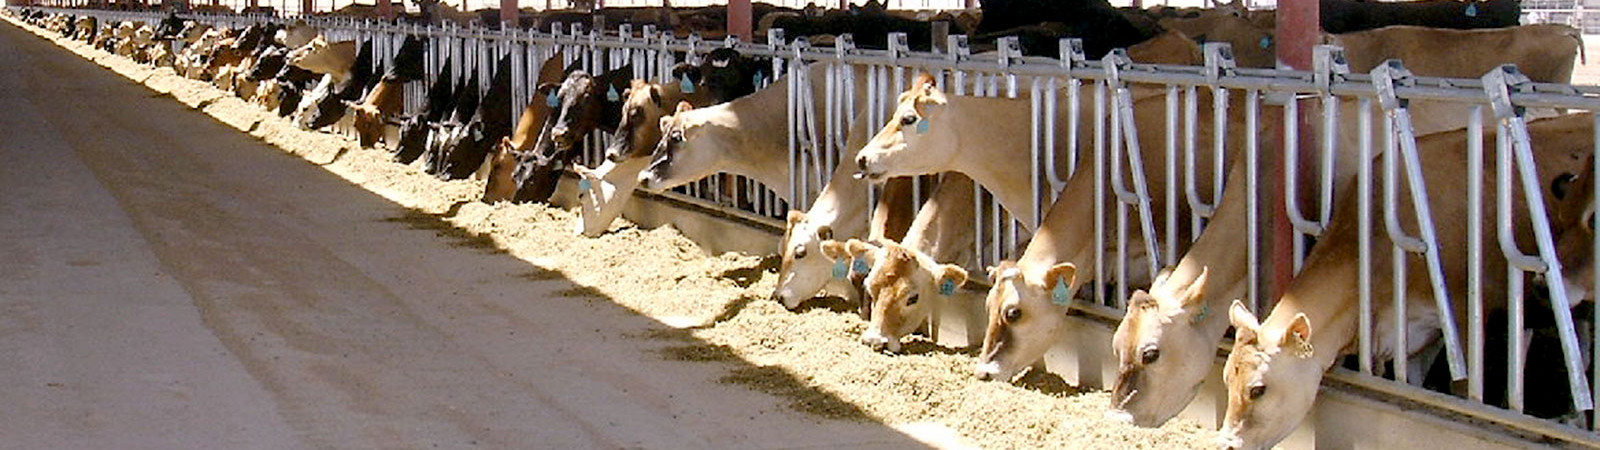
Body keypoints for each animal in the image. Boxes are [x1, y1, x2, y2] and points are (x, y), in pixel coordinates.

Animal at [1216, 112, 1593, 448]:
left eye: (1257, 389)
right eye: (1226, 379)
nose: (1227, 444)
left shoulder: (1467, 318)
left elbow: (1463, 391)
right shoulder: (1411, 338)